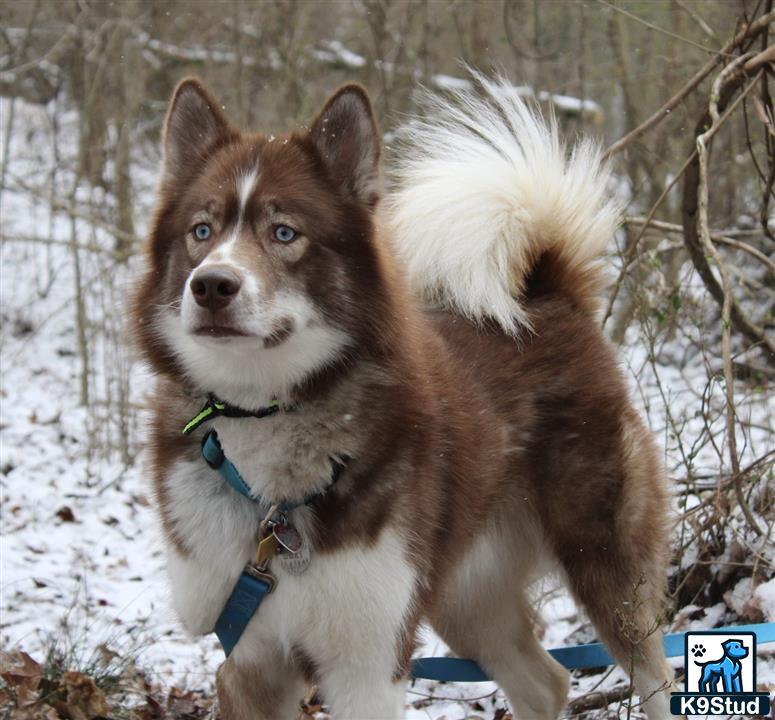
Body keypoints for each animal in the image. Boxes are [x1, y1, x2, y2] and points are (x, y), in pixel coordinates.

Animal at [132, 74, 672, 720]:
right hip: (462, 593)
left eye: (284, 233)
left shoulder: (368, 666)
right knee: (544, 681)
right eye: (202, 231)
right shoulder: (250, 661)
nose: (211, 285)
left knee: (654, 674)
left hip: (606, 569)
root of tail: (549, 296)